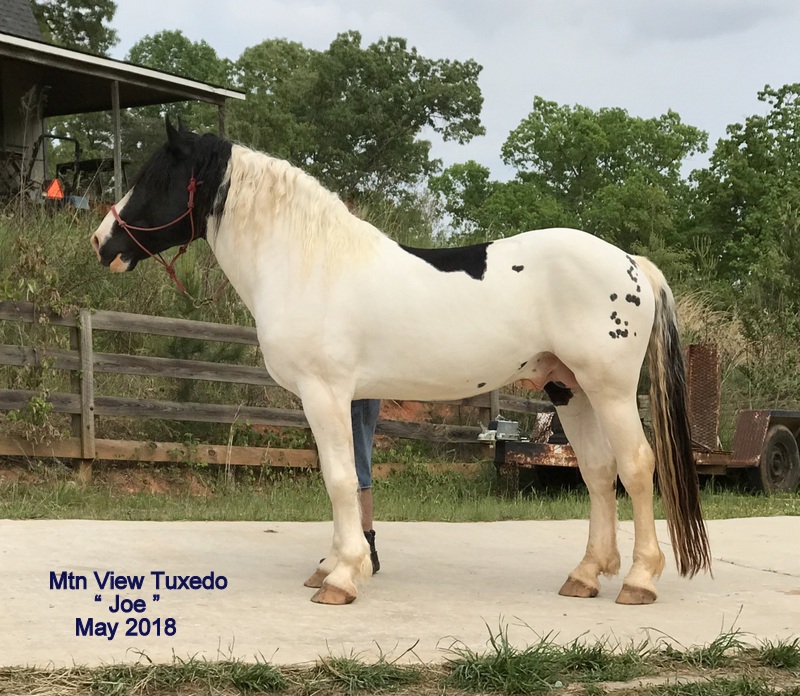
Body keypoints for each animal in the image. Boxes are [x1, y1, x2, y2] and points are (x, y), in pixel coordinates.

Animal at [90, 121, 711, 606]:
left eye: (155, 178)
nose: (100, 243)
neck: (309, 263)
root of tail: (631, 262)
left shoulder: (324, 393)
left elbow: (341, 479)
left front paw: (341, 577)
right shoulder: (343, 398)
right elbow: (347, 480)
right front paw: (336, 564)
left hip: (609, 390)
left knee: (636, 466)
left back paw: (639, 580)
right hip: (569, 388)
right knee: (599, 473)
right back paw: (585, 575)